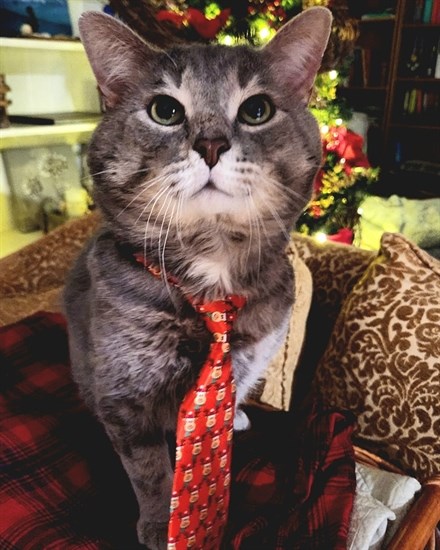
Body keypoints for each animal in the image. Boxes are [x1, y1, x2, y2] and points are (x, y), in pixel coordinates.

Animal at [63, 8, 332, 550]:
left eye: (257, 110)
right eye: (164, 110)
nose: (210, 143)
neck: (211, 269)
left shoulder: (252, 355)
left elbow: (232, 397)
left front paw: (231, 420)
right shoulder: (123, 396)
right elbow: (149, 470)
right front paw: (161, 522)